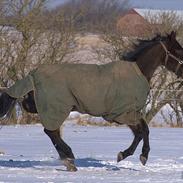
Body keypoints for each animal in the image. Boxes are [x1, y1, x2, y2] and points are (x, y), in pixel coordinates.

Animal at [0, 30, 183, 171]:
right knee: (50, 131)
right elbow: (144, 131)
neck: (137, 72)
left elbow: (140, 132)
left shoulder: (128, 114)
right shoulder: (122, 114)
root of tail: (32, 74)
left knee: (51, 131)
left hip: (55, 108)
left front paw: (125, 155)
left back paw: (68, 161)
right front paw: (139, 156)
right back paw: (69, 157)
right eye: (179, 51)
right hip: (57, 108)